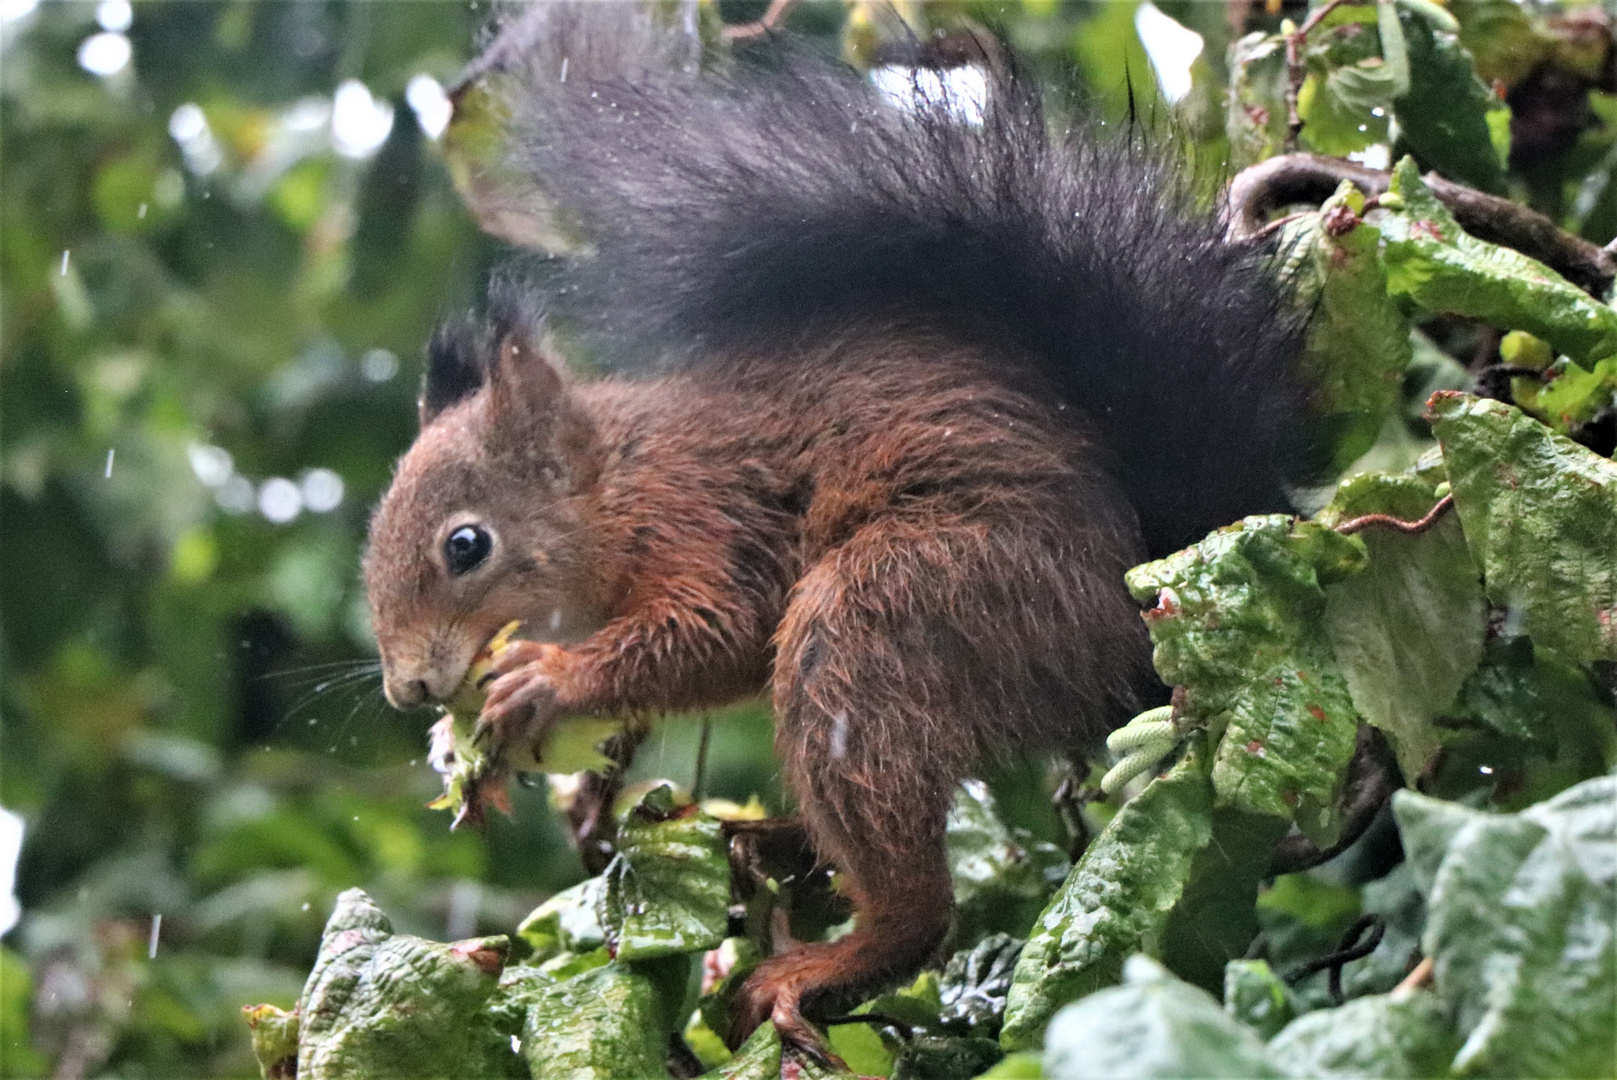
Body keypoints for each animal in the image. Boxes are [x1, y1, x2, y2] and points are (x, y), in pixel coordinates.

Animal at [360, 4, 1306, 1054]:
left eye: (466, 546)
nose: (408, 689)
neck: (615, 487)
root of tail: (1143, 589)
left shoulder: (703, 517)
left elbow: (717, 631)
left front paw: (547, 678)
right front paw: (476, 756)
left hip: (913, 605)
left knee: (910, 885)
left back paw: (833, 956)